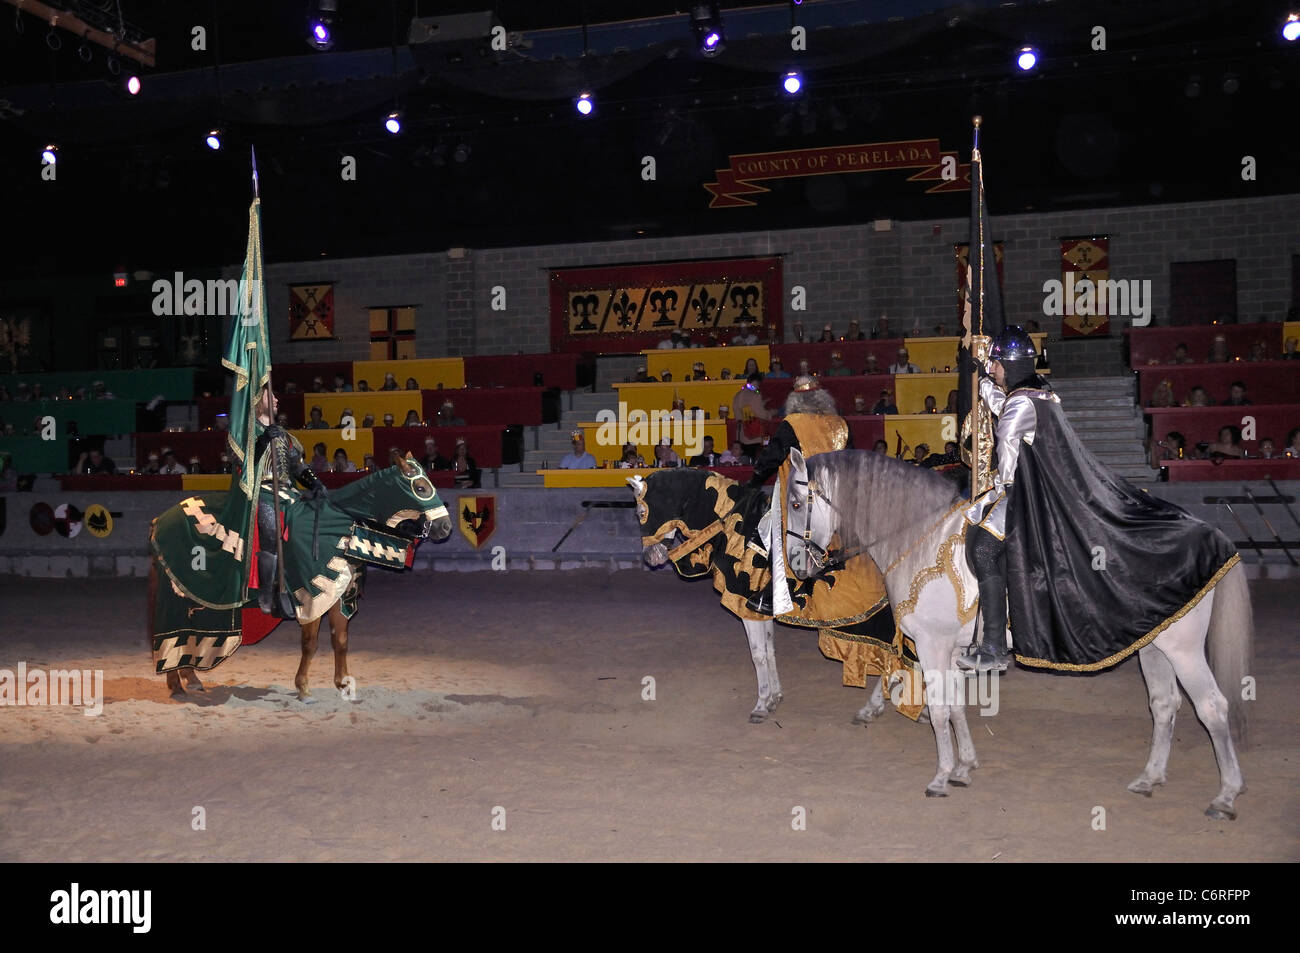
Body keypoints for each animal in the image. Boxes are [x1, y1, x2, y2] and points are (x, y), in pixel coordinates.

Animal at [785, 447, 1253, 816]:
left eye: (793, 500)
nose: (795, 565)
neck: (920, 537)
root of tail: (1210, 532)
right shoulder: (950, 649)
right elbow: (956, 707)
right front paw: (964, 767)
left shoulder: (933, 645)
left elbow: (940, 709)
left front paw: (940, 776)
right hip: (1154, 644)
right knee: (1164, 704)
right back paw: (1150, 778)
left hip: (1183, 647)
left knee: (1212, 707)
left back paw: (1226, 796)